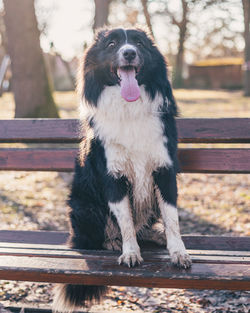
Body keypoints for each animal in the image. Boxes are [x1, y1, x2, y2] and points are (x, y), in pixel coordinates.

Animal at [53, 27, 191, 312]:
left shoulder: (164, 171)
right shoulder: (113, 176)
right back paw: (112, 241)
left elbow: (172, 218)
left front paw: (178, 251)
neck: (129, 107)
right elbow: (125, 220)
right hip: (85, 206)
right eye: (112, 44)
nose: (129, 53)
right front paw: (130, 251)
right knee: (96, 238)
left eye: (138, 43)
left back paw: (156, 235)